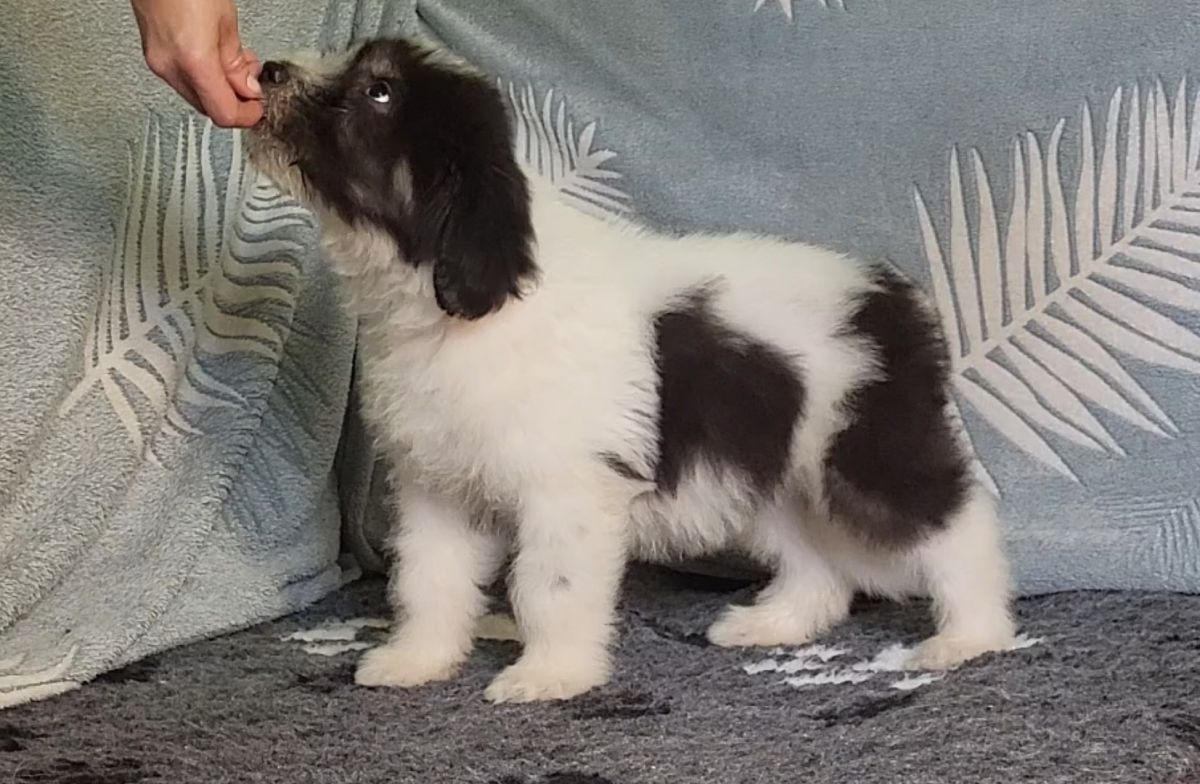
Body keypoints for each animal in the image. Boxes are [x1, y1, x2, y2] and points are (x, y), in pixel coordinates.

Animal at [245, 37, 1016, 703]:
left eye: (378, 92)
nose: (266, 72)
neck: (458, 303)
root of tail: (894, 298)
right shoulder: (438, 484)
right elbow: (428, 579)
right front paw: (418, 659)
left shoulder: (566, 492)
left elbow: (547, 587)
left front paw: (551, 675)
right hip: (774, 471)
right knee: (816, 563)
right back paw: (776, 624)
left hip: (863, 452)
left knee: (958, 526)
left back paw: (972, 635)